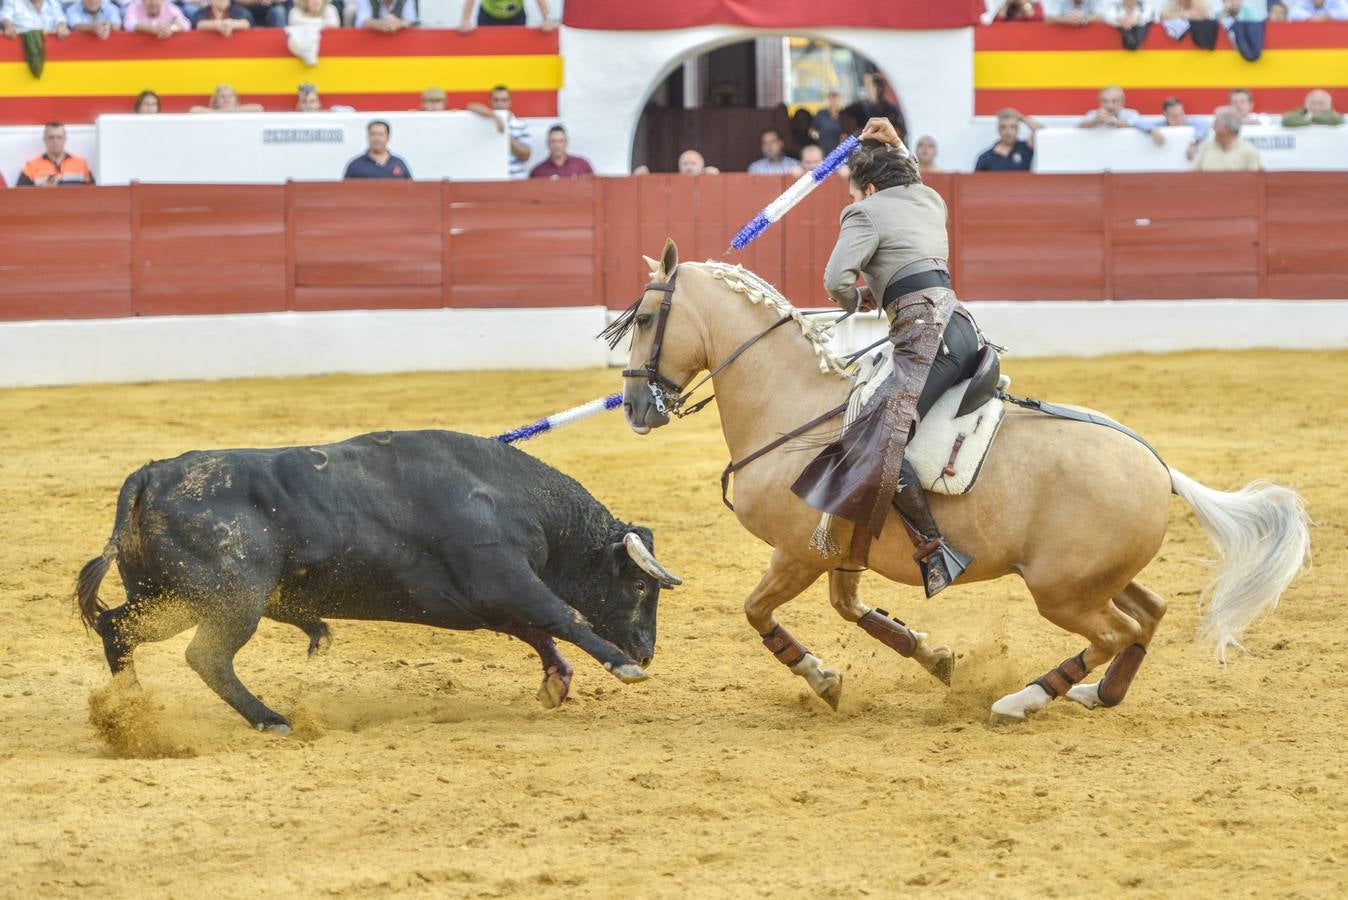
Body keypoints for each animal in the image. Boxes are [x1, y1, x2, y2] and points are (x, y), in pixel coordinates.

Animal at [73, 428, 679, 732]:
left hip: (171, 599)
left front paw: (557, 681)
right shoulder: (503, 579)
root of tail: (150, 475)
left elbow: (537, 630)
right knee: (207, 657)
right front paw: (622, 668)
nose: (647, 651)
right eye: (640, 587)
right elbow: (562, 615)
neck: (512, 497)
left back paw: (130, 710)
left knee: (116, 627)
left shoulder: (488, 600)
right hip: (231, 601)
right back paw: (269, 719)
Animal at [617, 241, 1310, 722]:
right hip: (1096, 576)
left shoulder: (797, 552)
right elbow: (853, 609)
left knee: (1116, 631)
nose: (636, 408)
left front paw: (823, 678)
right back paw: (1098, 694)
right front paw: (935, 657)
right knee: (1150, 614)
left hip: (1060, 591)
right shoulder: (841, 549)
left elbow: (757, 610)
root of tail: (1158, 465)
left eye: (647, 317)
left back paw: (1023, 700)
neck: (794, 407)